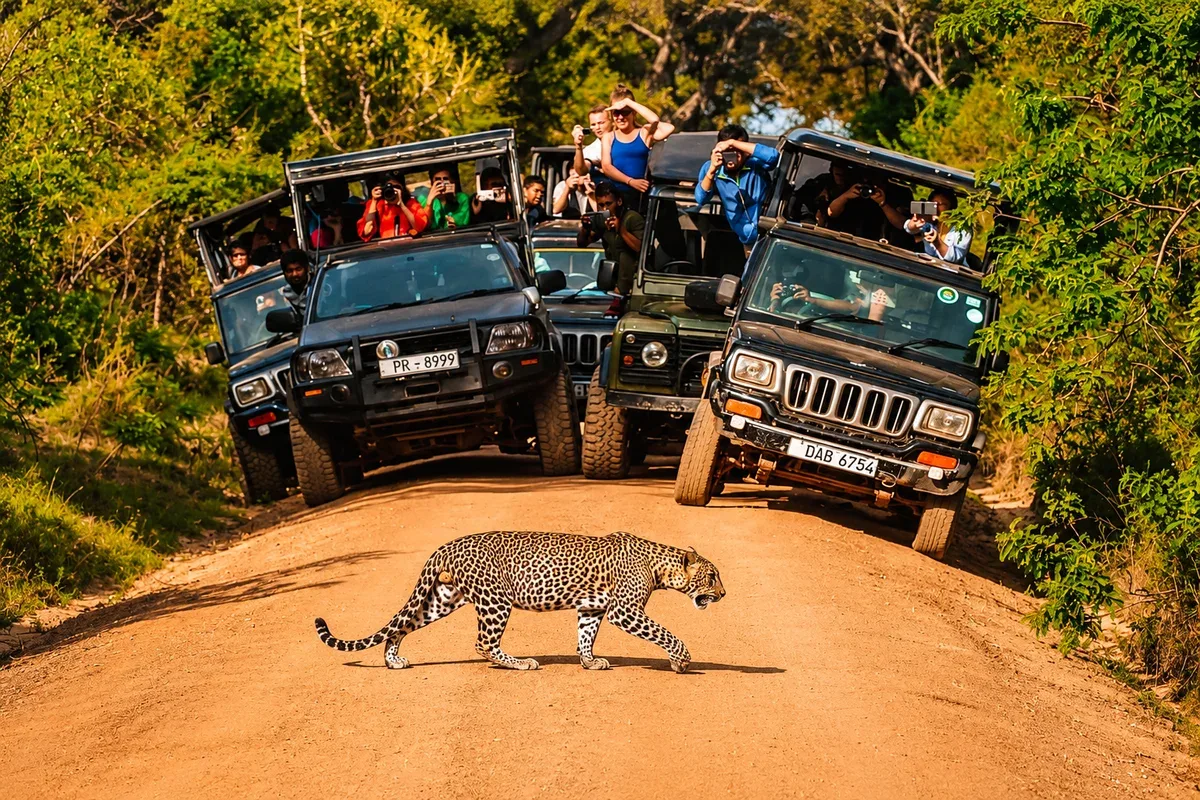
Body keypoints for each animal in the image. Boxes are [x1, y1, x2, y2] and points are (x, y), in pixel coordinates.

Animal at [314, 530, 725, 673]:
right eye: (711, 577)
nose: (723, 594)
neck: (660, 564)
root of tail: (447, 545)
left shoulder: (592, 607)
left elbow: (585, 637)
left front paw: (590, 662)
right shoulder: (625, 611)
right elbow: (664, 633)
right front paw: (681, 660)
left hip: (446, 597)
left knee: (403, 625)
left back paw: (394, 660)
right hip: (495, 601)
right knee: (483, 643)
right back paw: (521, 664)